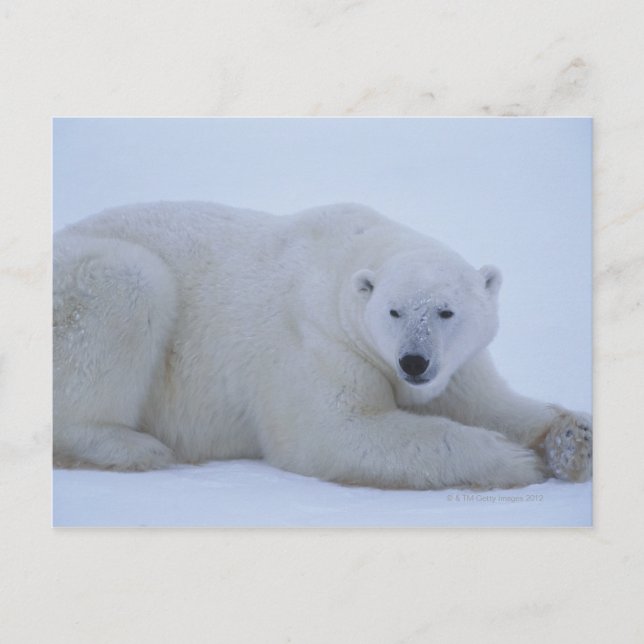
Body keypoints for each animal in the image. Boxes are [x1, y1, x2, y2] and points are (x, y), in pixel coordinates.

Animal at [53, 201, 592, 489]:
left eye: (446, 311)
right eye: (394, 311)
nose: (414, 362)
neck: (343, 262)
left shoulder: (458, 365)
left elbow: (494, 403)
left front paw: (574, 440)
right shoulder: (317, 340)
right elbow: (337, 430)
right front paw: (514, 461)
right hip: (84, 286)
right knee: (127, 286)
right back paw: (135, 447)